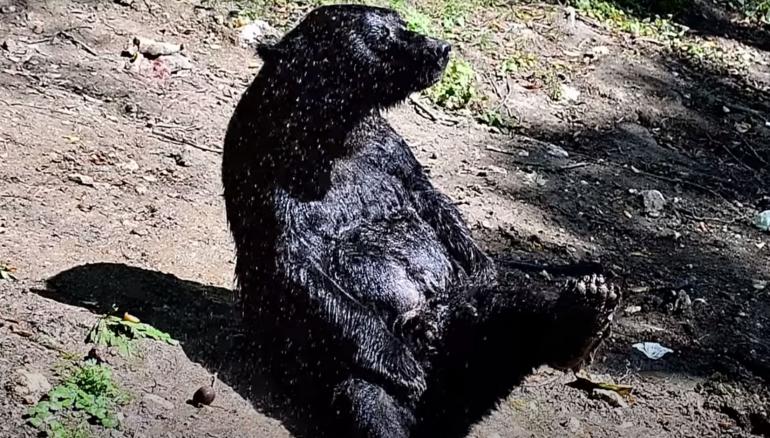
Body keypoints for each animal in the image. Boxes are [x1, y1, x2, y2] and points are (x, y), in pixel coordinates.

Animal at [222, 4, 616, 438]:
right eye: (384, 37)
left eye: (402, 23)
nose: (440, 48)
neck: (330, 135)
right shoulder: (270, 169)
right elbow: (296, 265)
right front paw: (400, 364)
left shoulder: (386, 151)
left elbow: (433, 206)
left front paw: (487, 265)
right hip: (339, 370)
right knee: (367, 399)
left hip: (467, 328)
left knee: (514, 308)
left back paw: (587, 309)